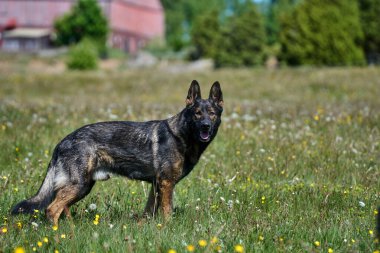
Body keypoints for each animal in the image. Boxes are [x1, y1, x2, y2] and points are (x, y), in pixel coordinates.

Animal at [11, 80, 223, 224]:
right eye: (197, 113)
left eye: (212, 114)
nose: (206, 126)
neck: (182, 135)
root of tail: (62, 141)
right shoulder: (166, 183)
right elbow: (167, 212)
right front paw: (168, 229)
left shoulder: (156, 185)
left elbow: (149, 212)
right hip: (79, 185)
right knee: (52, 209)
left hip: (83, 186)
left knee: (61, 207)